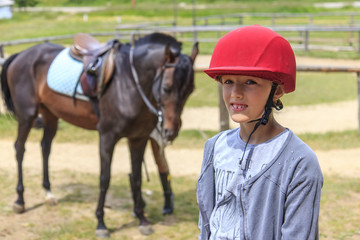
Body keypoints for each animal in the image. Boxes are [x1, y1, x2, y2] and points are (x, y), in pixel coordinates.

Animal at [0, 32, 198, 237]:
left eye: (190, 90)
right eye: (166, 87)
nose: (170, 131)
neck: (128, 83)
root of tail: (21, 54)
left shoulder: (138, 139)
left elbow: (137, 178)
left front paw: (143, 220)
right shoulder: (107, 137)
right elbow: (105, 178)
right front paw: (101, 224)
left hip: (50, 115)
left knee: (45, 148)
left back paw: (49, 194)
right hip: (27, 116)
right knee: (20, 149)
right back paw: (20, 201)